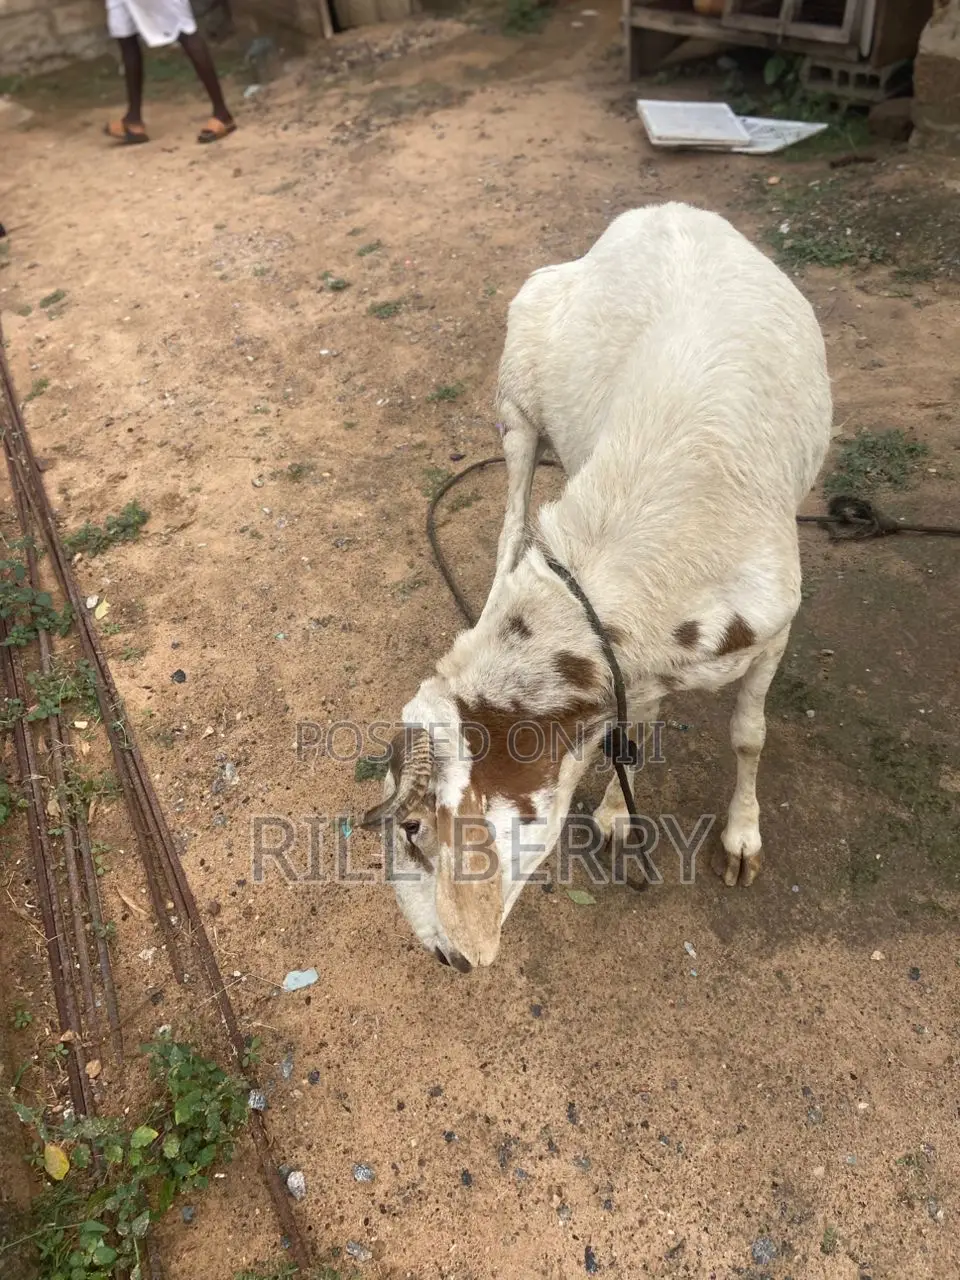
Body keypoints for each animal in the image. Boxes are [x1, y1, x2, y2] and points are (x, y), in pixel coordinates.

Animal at [361, 202, 835, 973]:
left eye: (411, 827)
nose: (445, 955)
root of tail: (662, 211)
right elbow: (633, 725)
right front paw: (616, 809)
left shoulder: (770, 628)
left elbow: (747, 735)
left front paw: (740, 838)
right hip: (517, 406)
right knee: (512, 523)